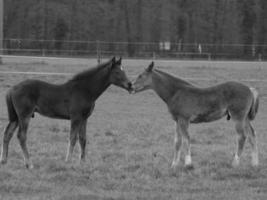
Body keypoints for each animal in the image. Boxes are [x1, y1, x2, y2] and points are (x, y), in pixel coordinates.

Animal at [0, 57, 132, 168]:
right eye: (117, 72)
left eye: (124, 70)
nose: (130, 84)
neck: (85, 90)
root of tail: (12, 89)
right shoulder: (76, 118)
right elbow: (73, 138)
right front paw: (68, 161)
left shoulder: (84, 118)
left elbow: (83, 139)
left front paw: (82, 162)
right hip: (24, 116)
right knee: (21, 136)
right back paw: (29, 163)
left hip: (15, 117)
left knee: (7, 133)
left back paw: (4, 160)